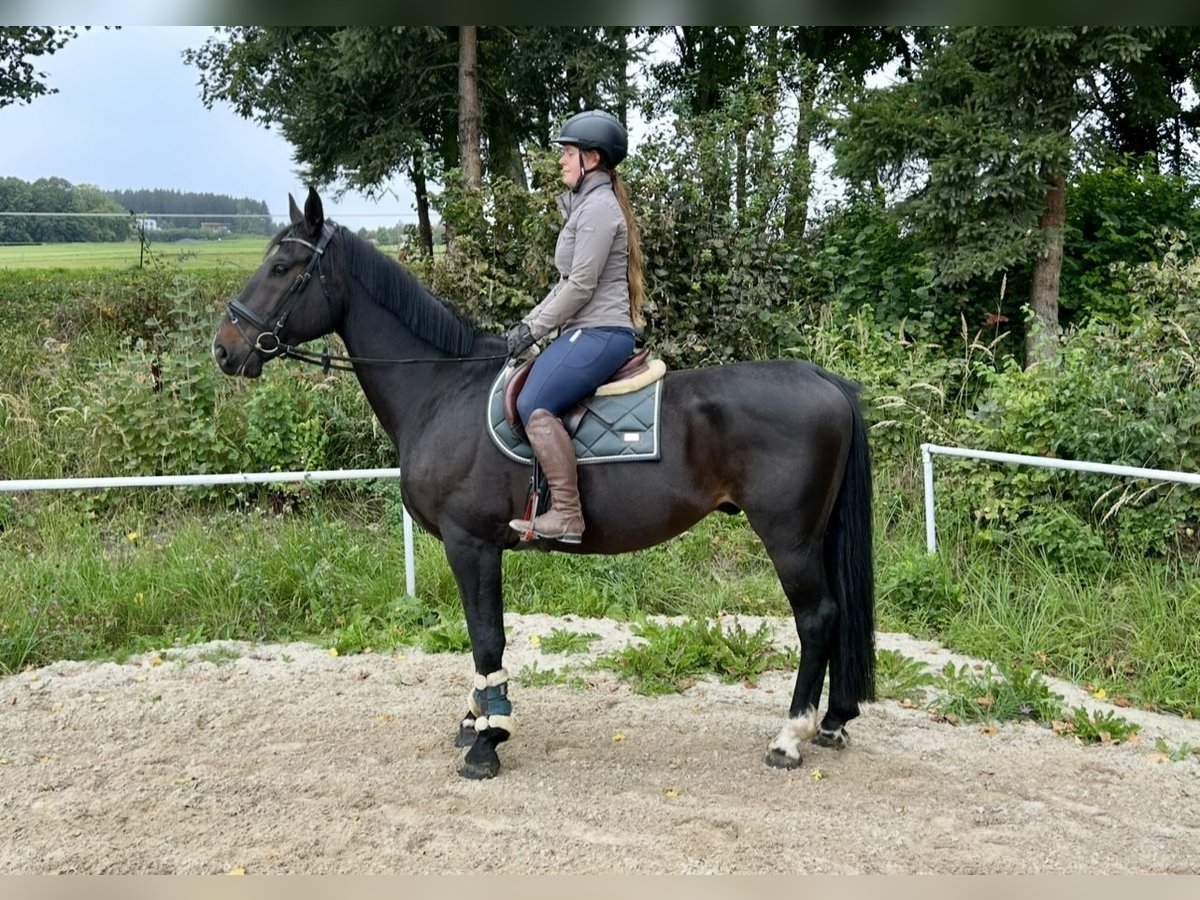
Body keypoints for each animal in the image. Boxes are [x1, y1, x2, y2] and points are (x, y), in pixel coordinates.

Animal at [211, 187, 876, 780]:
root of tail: (823, 378)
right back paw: (834, 720)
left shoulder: (471, 544)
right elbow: (480, 638)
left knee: (817, 617)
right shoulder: (477, 548)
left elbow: (487, 638)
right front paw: (476, 719)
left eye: (281, 267)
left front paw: (488, 740)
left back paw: (791, 735)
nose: (224, 349)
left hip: (788, 537)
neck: (441, 389)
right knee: (837, 614)